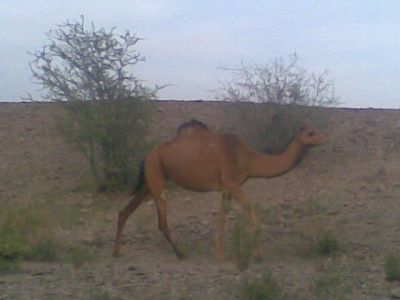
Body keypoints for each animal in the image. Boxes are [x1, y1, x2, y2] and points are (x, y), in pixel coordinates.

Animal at [111, 119, 324, 258]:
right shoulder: (232, 184)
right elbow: (251, 210)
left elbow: (221, 217)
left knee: (124, 212)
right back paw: (181, 253)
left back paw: (116, 252)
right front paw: (256, 254)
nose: (325, 137)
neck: (248, 158)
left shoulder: (227, 189)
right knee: (161, 221)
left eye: (317, 130)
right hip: (156, 175)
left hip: (150, 180)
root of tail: (147, 156)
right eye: (310, 133)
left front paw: (220, 253)